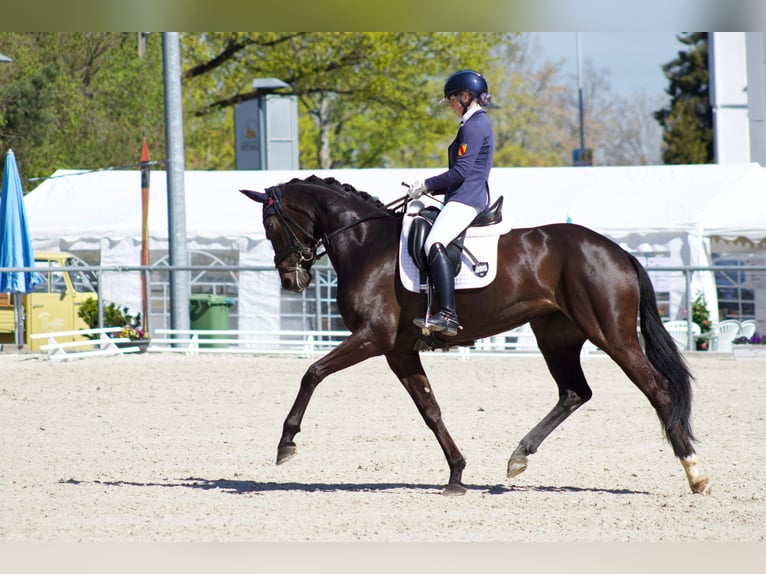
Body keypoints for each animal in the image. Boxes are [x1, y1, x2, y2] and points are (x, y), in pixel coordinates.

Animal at [240, 175, 709, 496]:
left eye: (270, 225)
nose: (292, 281)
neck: (365, 243)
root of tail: (617, 250)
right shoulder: (398, 350)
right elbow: (430, 410)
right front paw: (456, 474)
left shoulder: (373, 337)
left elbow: (313, 373)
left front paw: (286, 442)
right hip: (556, 336)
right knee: (575, 392)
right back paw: (518, 456)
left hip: (612, 334)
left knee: (657, 389)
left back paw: (695, 471)